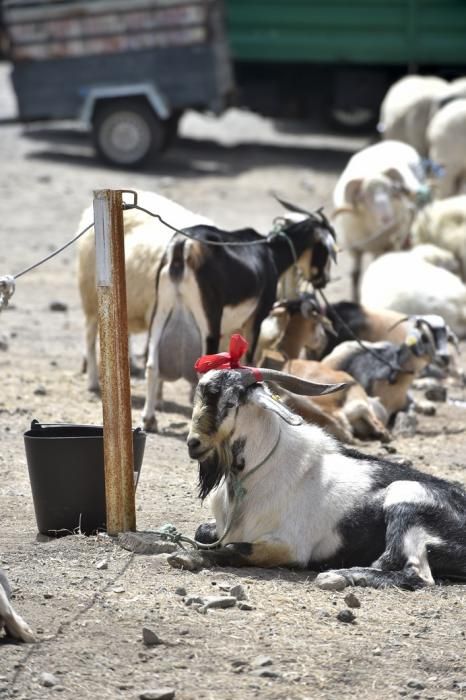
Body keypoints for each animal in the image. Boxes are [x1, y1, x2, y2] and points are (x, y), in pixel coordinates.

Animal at [140, 208, 336, 432]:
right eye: (325, 251)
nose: (324, 280)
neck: (270, 253)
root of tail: (183, 245)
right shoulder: (255, 319)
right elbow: (249, 362)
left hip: (161, 309)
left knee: (152, 364)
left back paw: (149, 420)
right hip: (209, 322)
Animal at [185, 342, 466, 588]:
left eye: (229, 401)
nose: (193, 443)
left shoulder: (288, 547)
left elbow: (233, 548)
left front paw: (188, 557)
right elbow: (201, 531)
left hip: (405, 497)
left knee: (415, 573)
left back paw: (336, 575)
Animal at [334, 141, 428, 300]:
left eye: (392, 190)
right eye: (364, 197)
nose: (387, 217)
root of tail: (396, 142)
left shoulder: (387, 247)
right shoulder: (354, 247)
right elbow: (355, 275)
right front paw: (355, 299)